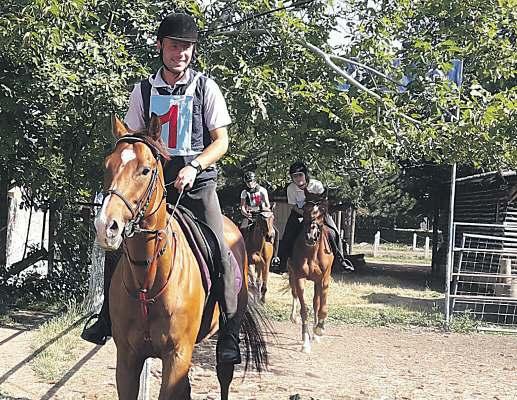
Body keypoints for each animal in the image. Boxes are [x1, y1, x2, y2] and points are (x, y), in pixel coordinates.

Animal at [94, 116, 268, 400]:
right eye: (107, 165)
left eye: (145, 170)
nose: (106, 226)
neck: (148, 277)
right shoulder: (127, 359)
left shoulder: (177, 356)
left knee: (224, 376)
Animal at [286, 194, 334, 354]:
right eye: (305, 211)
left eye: (322, 213)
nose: (310, 237)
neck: (312, 253)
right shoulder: (299, 277)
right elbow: (304, 309)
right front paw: (305, 343)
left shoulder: (324, 280)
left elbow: (321, 307)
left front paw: (319, 330)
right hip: (291, 274)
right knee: (295, 294)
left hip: (316, 282)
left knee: (316, 303)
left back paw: (315, 333)